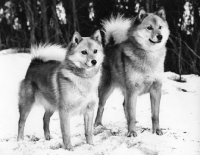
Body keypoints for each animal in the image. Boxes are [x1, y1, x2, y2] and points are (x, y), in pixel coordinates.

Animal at [94, 7, 170, 137]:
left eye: (160, 27)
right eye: (149, 27)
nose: (160, 36)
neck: (149, 56)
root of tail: (109, 46)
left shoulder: (156, 89)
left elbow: (155, 115)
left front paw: (157, 131)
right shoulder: (132, 89)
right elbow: (132, 113)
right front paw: (132, 132)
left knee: (124, 105)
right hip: (107, 88)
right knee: (101, 106)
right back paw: (97, 124)